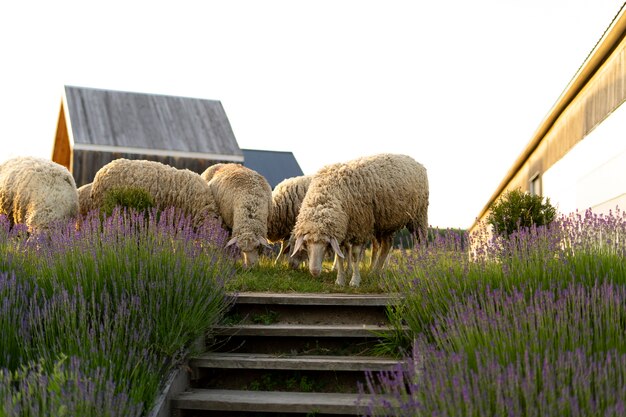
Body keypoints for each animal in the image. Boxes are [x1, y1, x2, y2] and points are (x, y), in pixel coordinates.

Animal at [290, 153, 426, 286]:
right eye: (306, 245)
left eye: (325, 245)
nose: (314, 272)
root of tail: (414, 161)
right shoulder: (341, 231)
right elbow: (340, 256)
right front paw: (340, 280)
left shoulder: (360, 227)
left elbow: (355, 256)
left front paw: (355, 281)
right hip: (385, 222)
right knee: (386, 246)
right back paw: (375, 272)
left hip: (419, 216)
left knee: (421, 241)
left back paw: (422, 267)